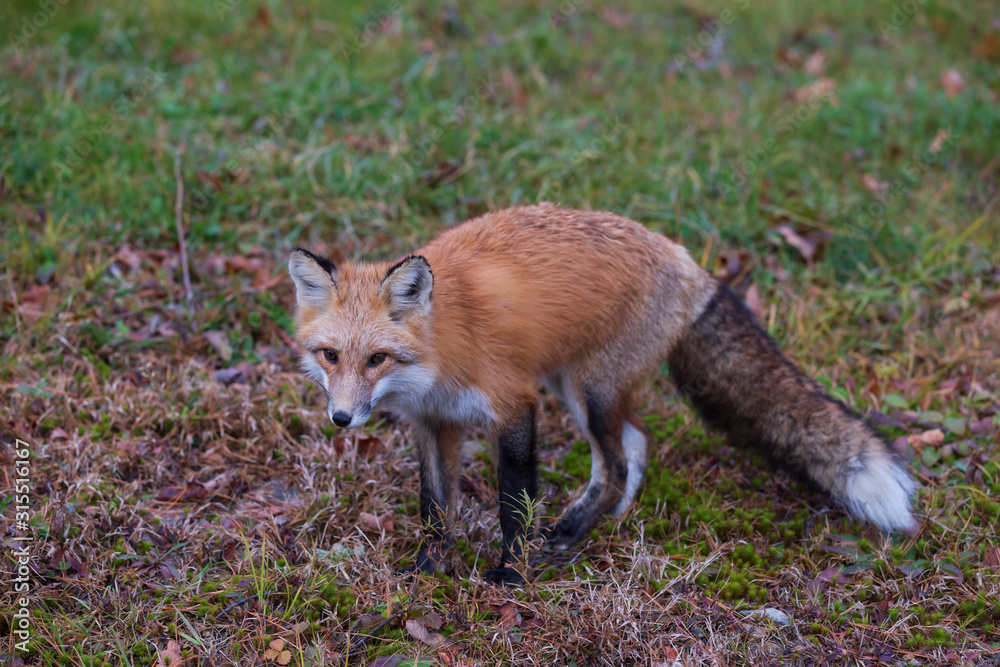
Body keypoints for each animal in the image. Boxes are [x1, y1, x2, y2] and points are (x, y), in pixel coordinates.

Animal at [289, 203, 917, 586]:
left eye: (377, 359)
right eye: (330, 356)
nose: (341, 418)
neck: (441, 351)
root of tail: (690, 263)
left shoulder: (514, 405)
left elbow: (514, 503)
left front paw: (511, 574)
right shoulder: (435, 424)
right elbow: (434, 508)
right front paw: (426, 570)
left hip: (587, 391)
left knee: (615, 461)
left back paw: (570, 533)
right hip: (577, 389)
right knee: (635, 444)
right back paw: (606, 520)